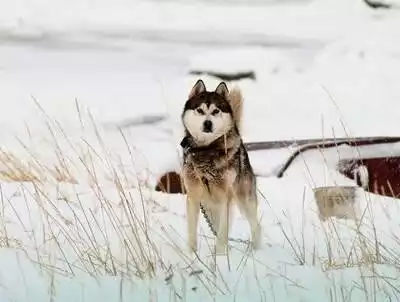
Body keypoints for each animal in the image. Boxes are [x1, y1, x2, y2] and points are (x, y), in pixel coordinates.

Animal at [180, 79, 260, 254]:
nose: (207, 123)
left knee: (256, 226)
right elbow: (191, 232)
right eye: (200, 110)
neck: (206, 150)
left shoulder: (225, 198)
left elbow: (223, 233)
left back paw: (256, 249)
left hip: (244, 201)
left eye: (216, 111)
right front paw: (192, 255)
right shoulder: (193, 197)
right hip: (210, 207)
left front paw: (221, 256)